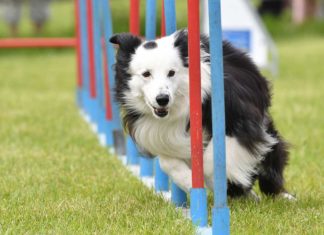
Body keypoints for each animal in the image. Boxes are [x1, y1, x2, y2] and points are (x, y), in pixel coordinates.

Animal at [110, 28, 294, 199]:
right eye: (146, 74)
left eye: (171, 72)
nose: (162, 99)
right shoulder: (159, 133)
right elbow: (166, 162)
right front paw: (189, 182)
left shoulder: (240, 121)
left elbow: (212, 161)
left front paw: (217, 183)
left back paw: (280, 195)